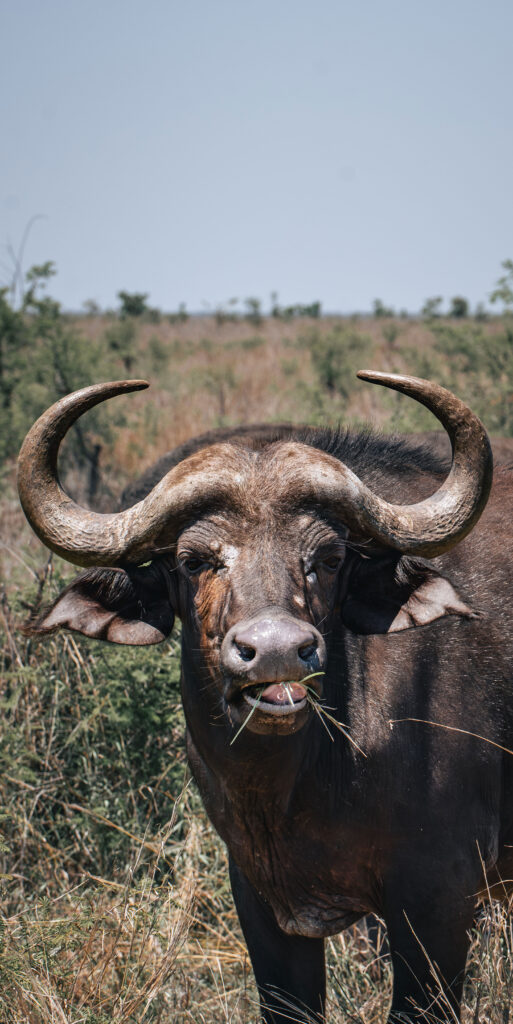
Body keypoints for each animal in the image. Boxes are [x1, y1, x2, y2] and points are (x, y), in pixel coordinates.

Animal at [16, 372, 513, 1023]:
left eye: (328, 558)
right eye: (195, 560)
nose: (277, 651)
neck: (296, 790)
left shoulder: (439, 909)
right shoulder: (262, 907)